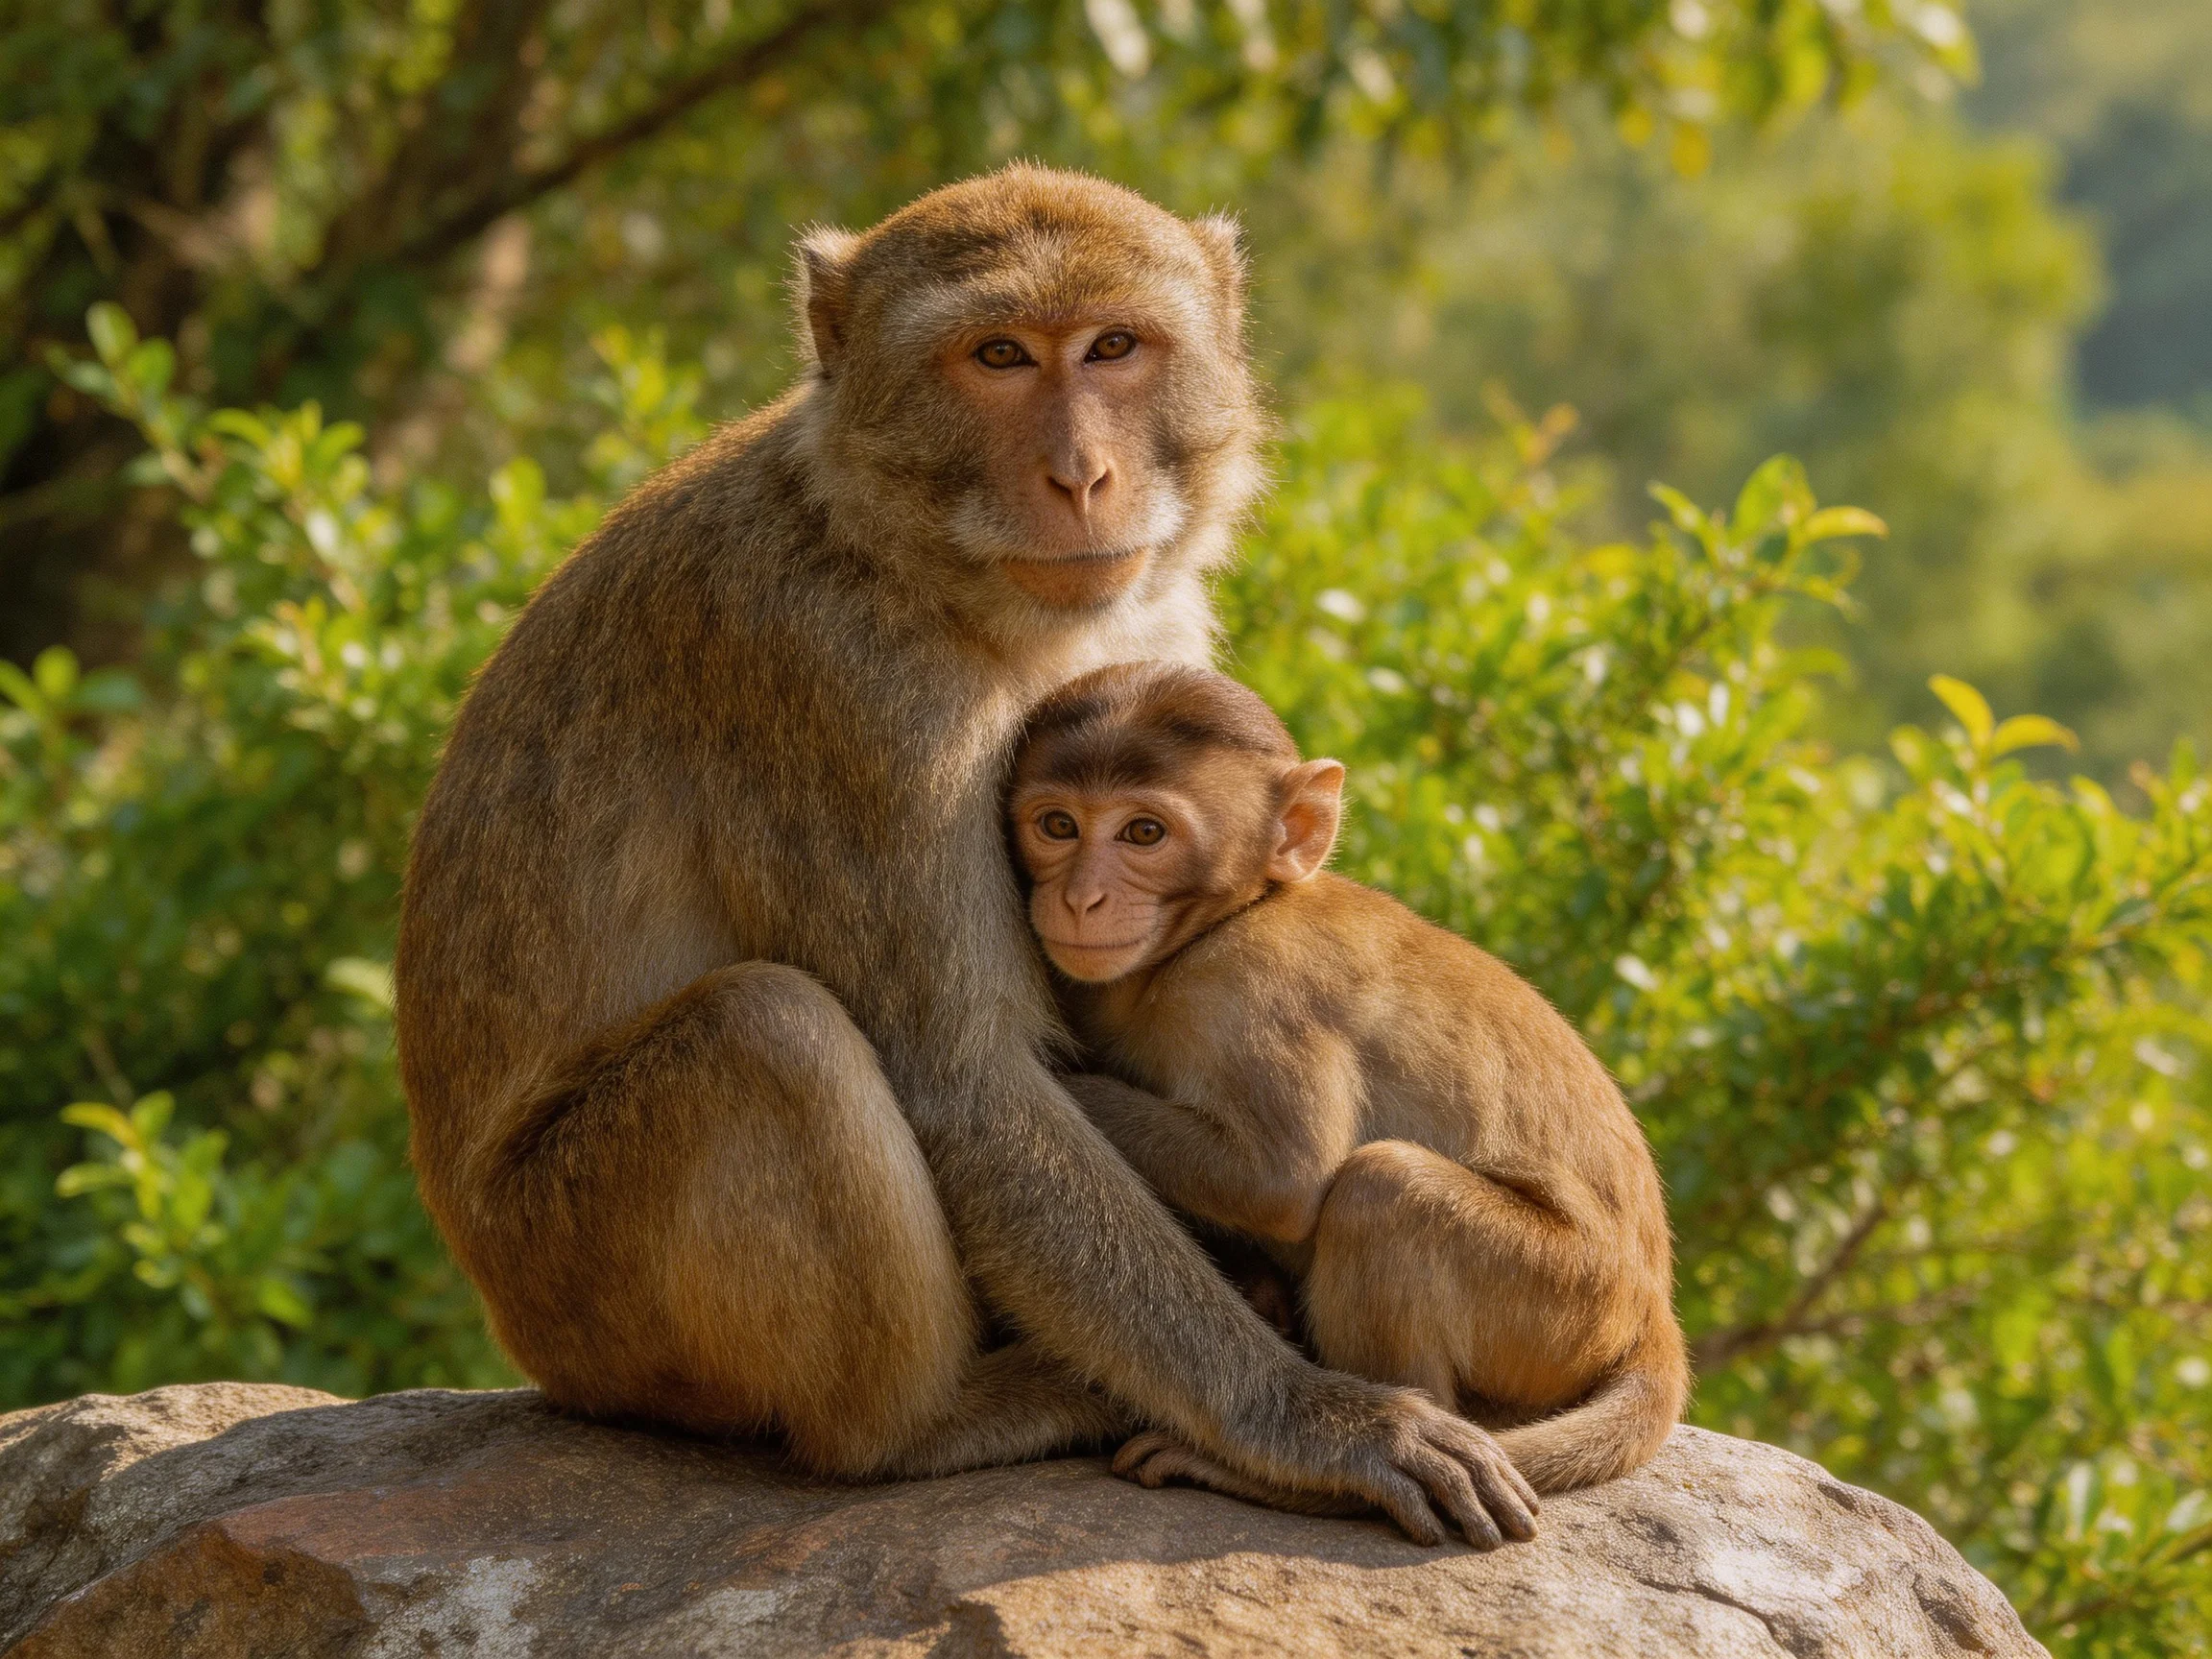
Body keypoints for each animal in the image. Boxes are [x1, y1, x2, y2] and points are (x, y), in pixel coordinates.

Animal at [395, 165, 1538, 1551]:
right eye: (998, 356)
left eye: (1113, 347)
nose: (1083, 475)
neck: (903, 556)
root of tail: (513, 1317)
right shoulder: (844, 693)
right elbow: (964, 1080)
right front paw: (1311, 1419)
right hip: (582, 1288)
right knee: (766, 1032)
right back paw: (927, 1424)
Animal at [1005, 660, 1688, 1502]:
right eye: (1058, 826)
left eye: (1143, 833)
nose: (1080, 897)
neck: (1221, 921)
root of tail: (1651, 1310)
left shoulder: (1256, 986)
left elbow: (1284, 1181)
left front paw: (1070, 1079)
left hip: (1562, 1304)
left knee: (1382, 1194)